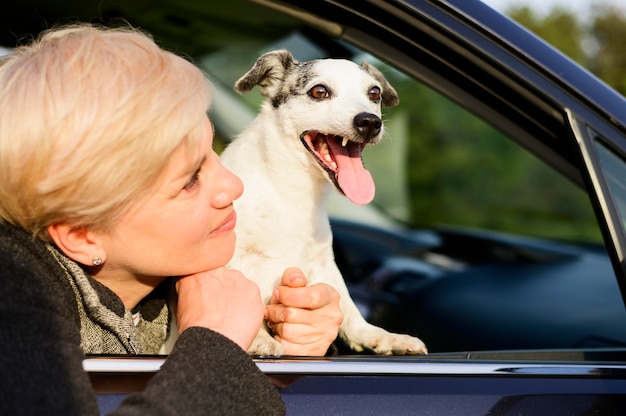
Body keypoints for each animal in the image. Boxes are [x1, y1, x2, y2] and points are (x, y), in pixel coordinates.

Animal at [217, 48, 426, 354]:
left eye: (374, 93)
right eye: (319, 92)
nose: (370, 122)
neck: (293, 191)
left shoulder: (324, 265)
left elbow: (347, 305)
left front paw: (379, 335)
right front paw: (258, 338)